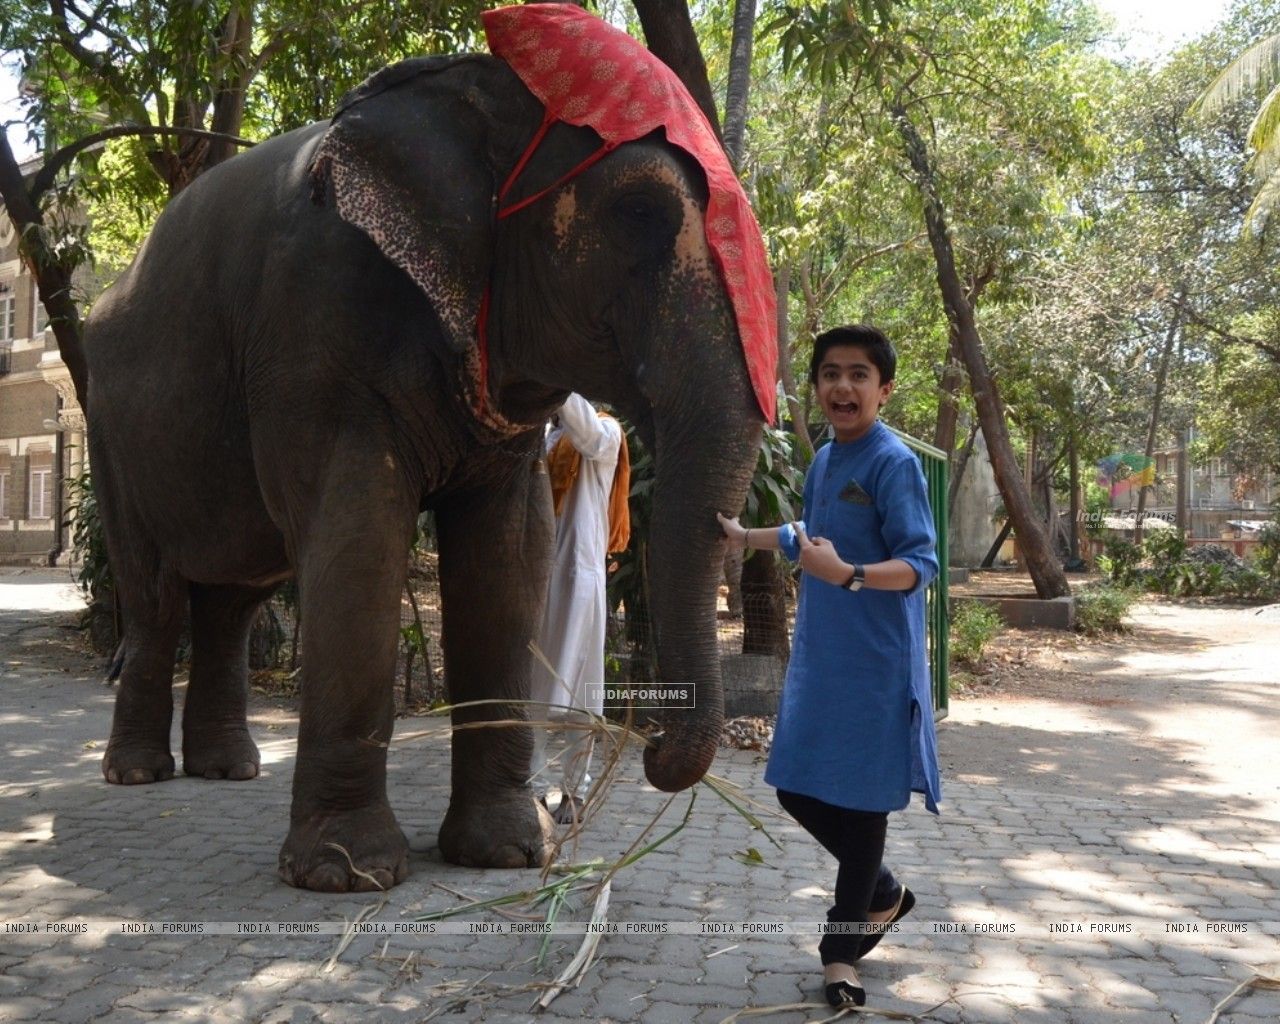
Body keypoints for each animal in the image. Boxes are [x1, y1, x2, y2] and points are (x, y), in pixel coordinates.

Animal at [80, 8, 772, 892]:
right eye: (640, 211)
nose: (650, 748)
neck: (470, 84)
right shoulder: (317, 325)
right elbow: (360, 539)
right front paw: (346, 873)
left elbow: (510, 558)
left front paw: (508, 853)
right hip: (110, 431)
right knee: (158, 592)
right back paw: (138, 774)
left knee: (234, 597)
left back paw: (229, 771)